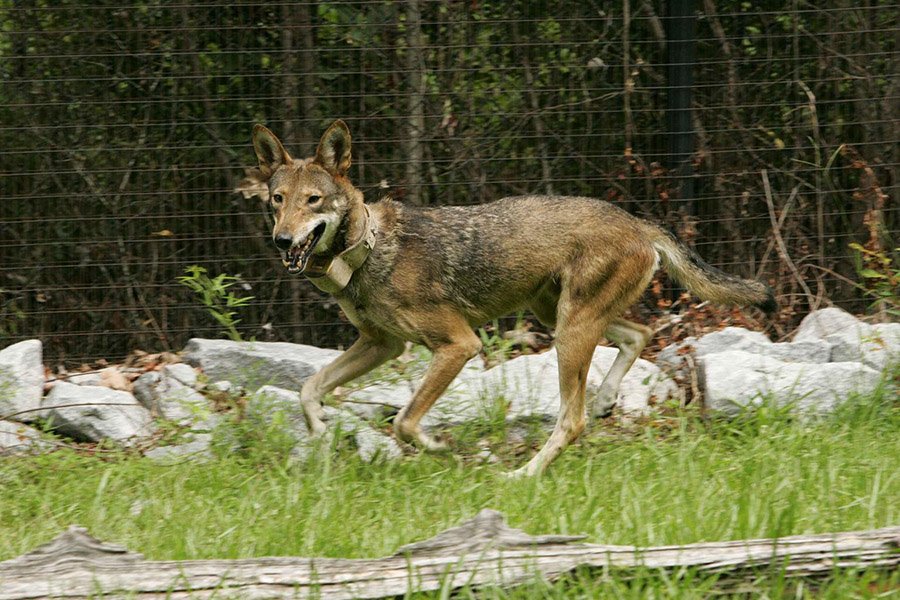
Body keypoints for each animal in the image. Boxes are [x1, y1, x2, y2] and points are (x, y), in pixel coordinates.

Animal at [237, 120, 774, 476]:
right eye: (278, 201)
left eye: (313, 201)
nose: (283, 241)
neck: (369, 249)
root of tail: (639, 223)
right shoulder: (382, 345)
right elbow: (309, 389)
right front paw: (320, 434)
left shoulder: (459, 346)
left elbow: (406, 422)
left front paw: (441, 449)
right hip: (559, 316)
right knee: (638, 335)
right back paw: (604, 400)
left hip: (568, 333)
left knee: (573, 419)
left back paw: (524, 475)